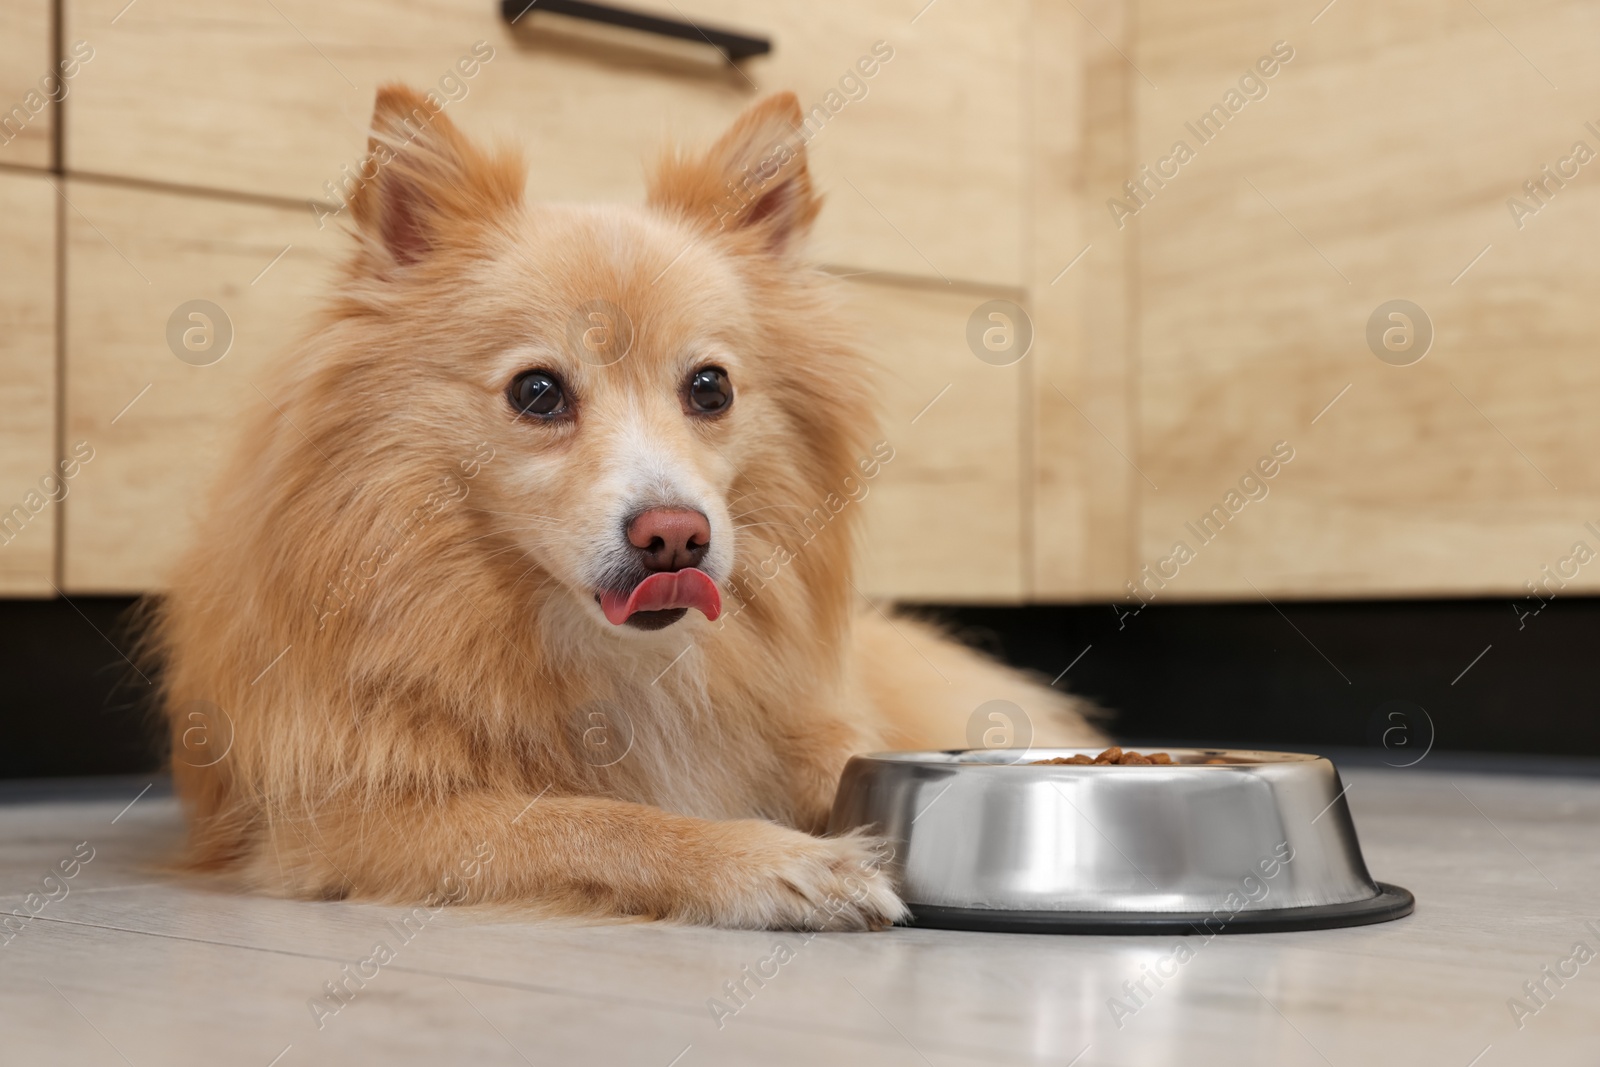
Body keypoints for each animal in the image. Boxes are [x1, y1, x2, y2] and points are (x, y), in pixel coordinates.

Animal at [152, 87, 1100, 927]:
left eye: (710, 388)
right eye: (537, 392)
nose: (676, 534)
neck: (610, 655)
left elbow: (843, 755)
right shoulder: (352, 821)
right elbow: (595, 821)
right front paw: (765, 859)